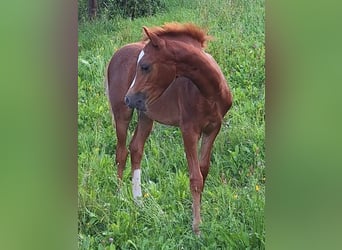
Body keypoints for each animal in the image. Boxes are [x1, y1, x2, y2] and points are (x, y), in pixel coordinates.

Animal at [105, 22, 232, 235]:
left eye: (145, 66)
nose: (129, 98)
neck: (210, 92)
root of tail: (116, 53)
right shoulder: (188, 130)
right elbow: (195, 178)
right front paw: (196, 228)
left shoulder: (213, 129)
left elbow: (204, 171)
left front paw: (199, 218)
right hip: (122, 113)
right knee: (121, 152)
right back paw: (120, 196)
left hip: (146, 115)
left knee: (136, 148)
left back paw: (138, 202)